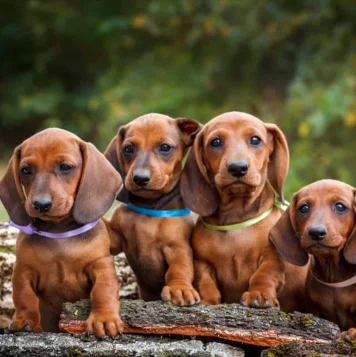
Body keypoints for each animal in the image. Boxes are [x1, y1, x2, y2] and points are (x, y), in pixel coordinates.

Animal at [0, 129, 124, 336]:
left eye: (65, 167)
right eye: (26, 169)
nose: (41, 204)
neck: (59, 233)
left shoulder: (101, 264)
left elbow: (103, 290)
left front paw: (104, 319)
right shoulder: (23, 270)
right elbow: (24, 297)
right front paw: (25, 320)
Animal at [104, 112, 202, 304]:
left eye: (165, 147)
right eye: (128, 148)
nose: (140, 178)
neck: (150, 206)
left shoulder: (178, 247)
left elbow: (179, 267)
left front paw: (179, 288)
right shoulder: (116, 238)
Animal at [182, 111, 308, 312]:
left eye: (255, 139)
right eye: (215, 142)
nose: (238, 168)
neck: (236, 220)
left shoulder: (272, 257)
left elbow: (264, 275)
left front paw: (260, 295)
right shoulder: (202, 263)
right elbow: (206, 282)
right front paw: (207, 301)